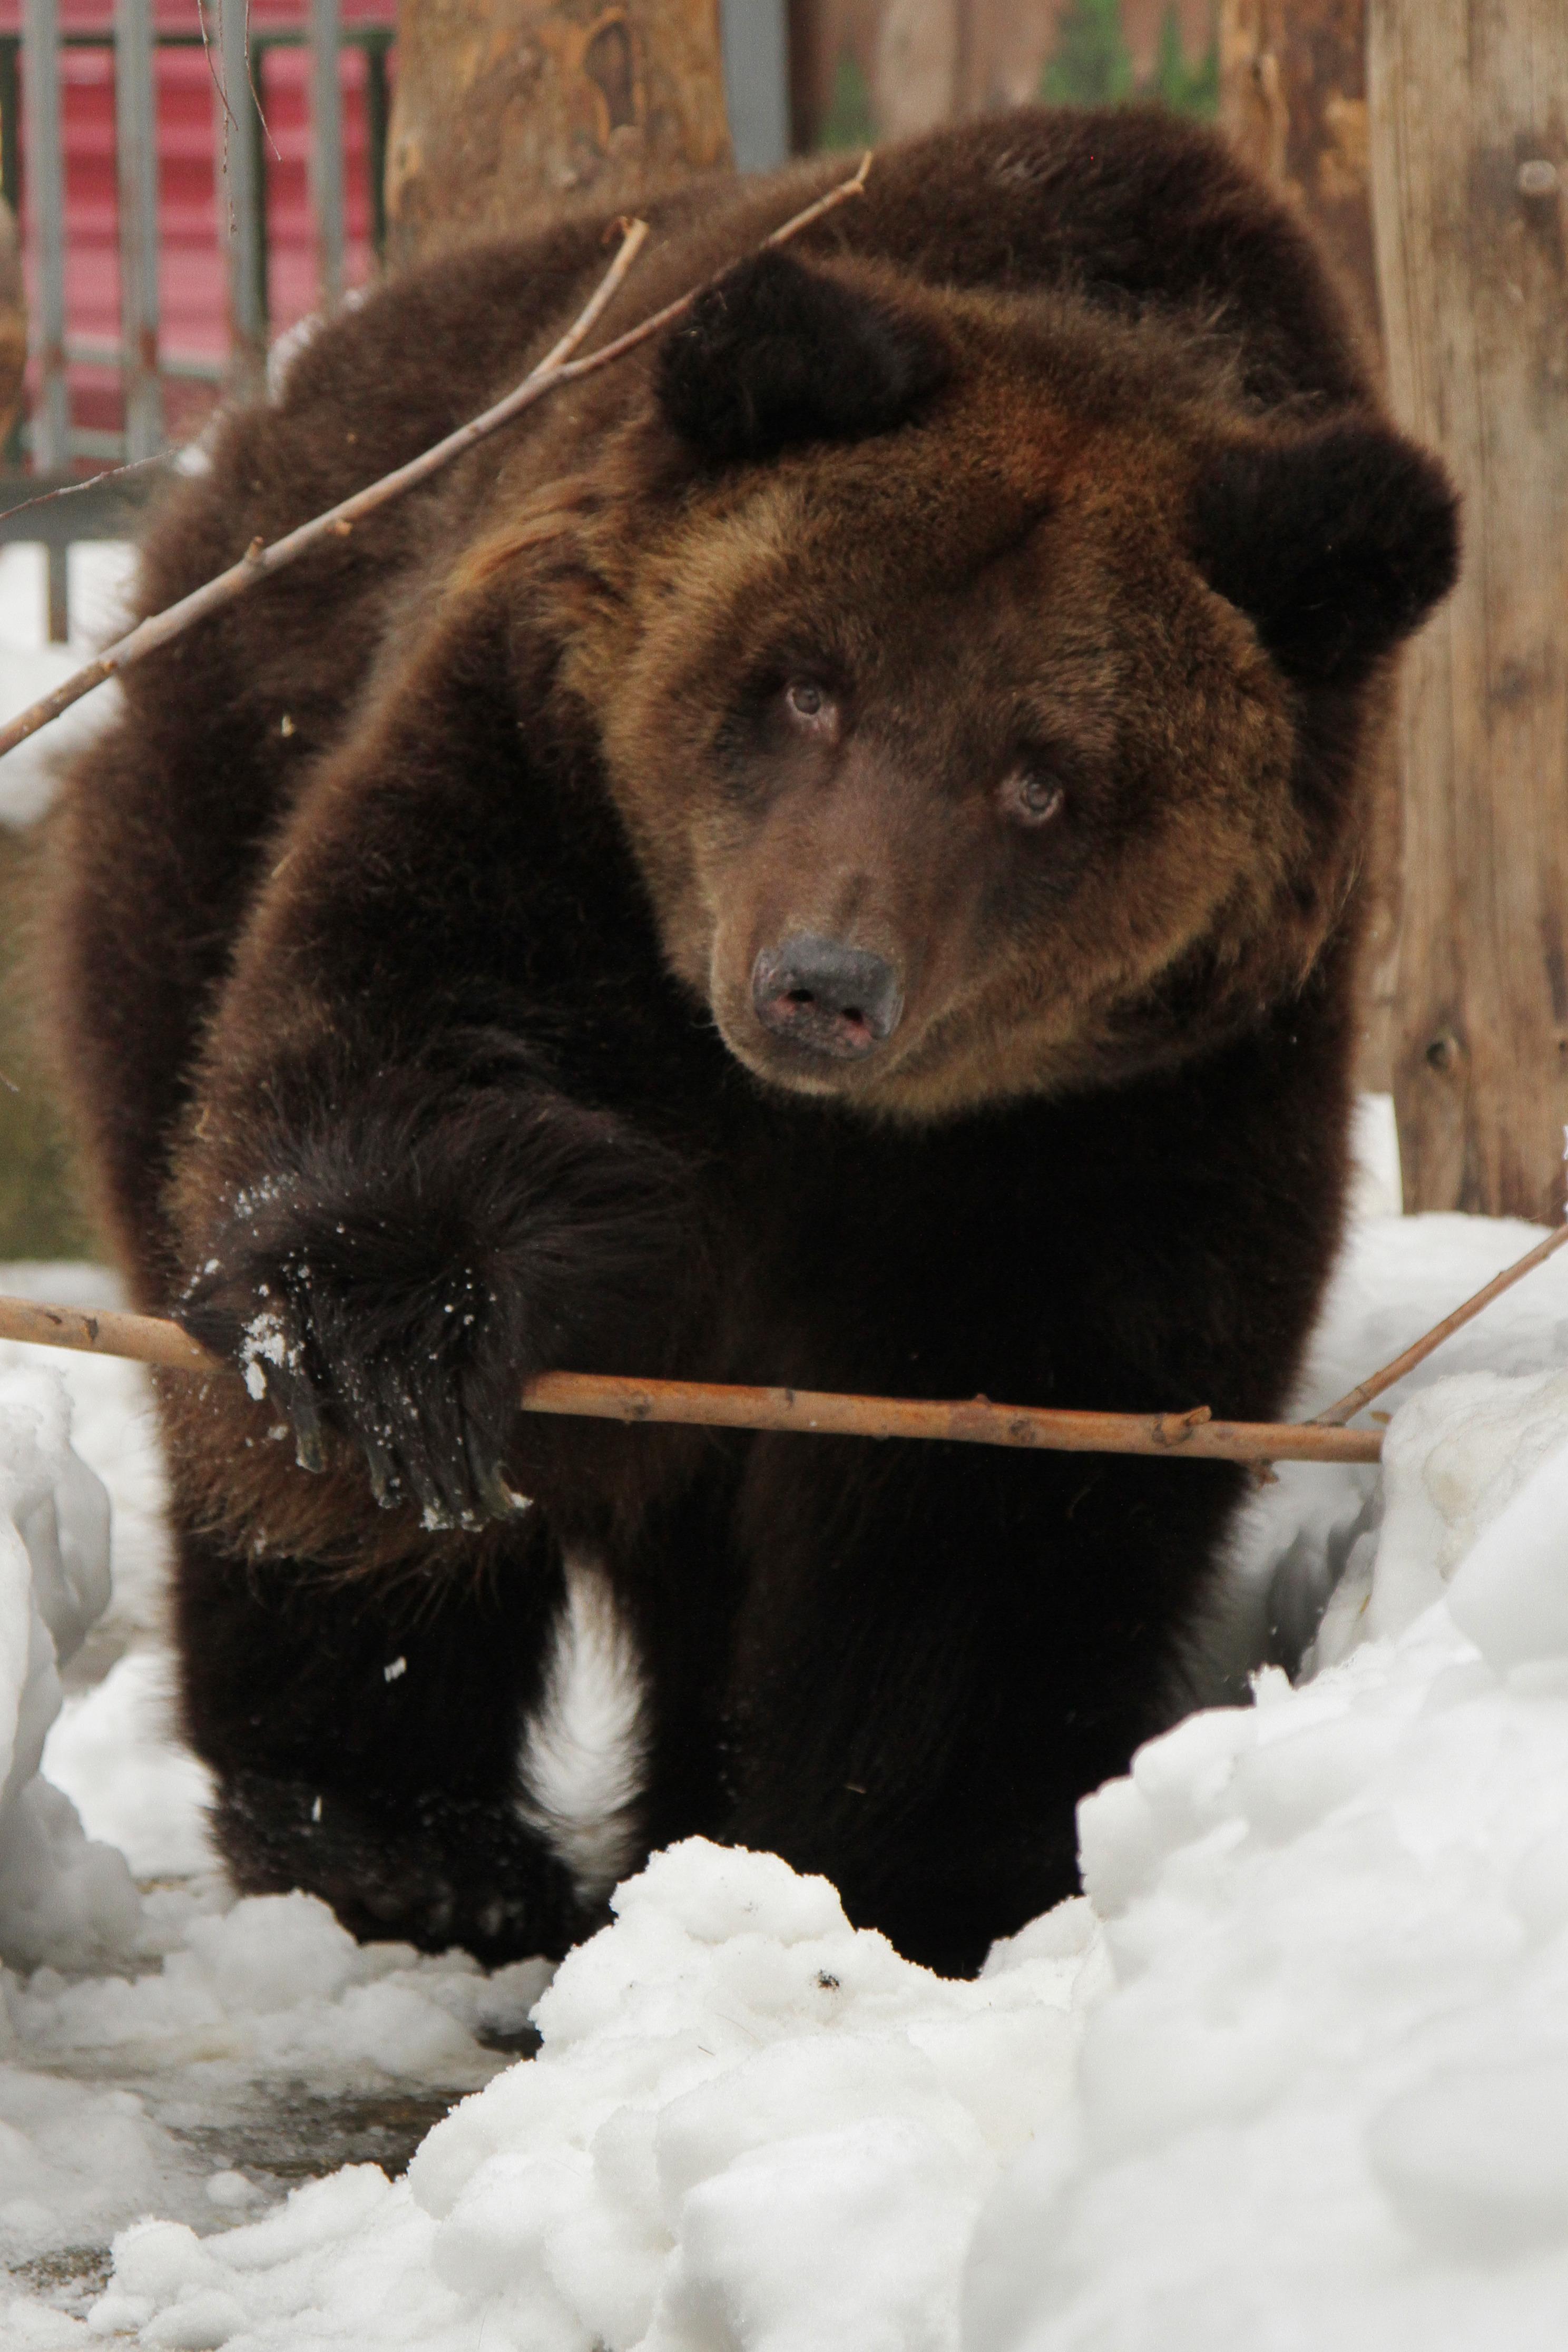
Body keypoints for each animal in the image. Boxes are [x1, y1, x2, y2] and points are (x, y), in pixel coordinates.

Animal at [43, 101, 1457, 1975]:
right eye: (805, 684)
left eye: (1041, 778)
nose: (821, 982)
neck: (812, 1128)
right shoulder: (553, 790)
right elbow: (419, 1042)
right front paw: (392, 1353)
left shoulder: (1127, 1108)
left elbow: (988, 1494)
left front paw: (896, 1875)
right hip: (198, 815)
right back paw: (406, 1840)